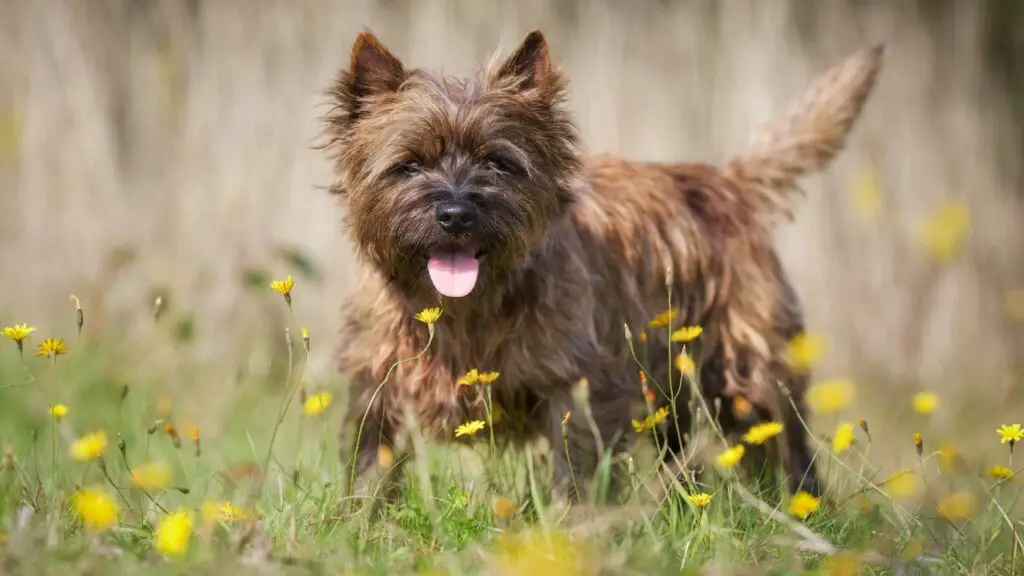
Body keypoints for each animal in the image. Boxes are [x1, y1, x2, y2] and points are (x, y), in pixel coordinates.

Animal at [323, 29, 884, 500]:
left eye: (497, 162)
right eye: (409, 165)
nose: (456, 213)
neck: (464, 309)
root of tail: (729, 181)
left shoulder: (577, 386)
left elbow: (573, 468)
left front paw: (567, 531)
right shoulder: (377, 379)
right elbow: (371, 461)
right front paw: (361, 522)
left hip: (750, 368)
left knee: (785, 443)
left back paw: (801, 509)